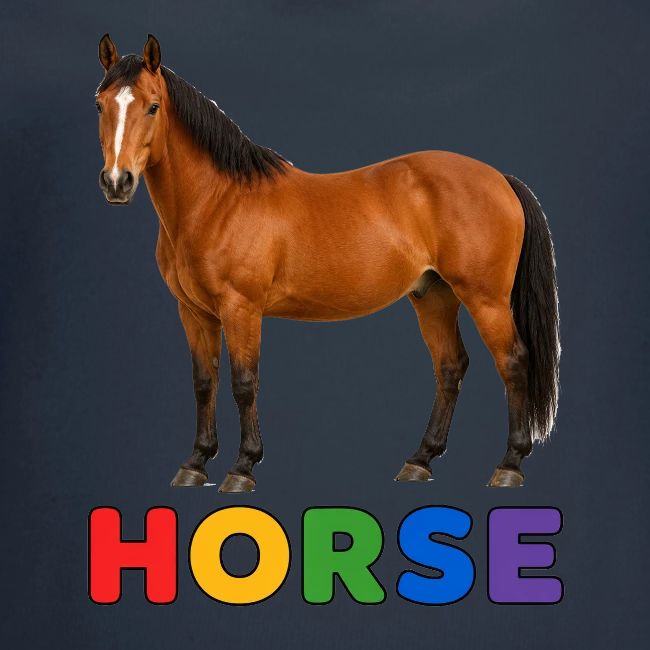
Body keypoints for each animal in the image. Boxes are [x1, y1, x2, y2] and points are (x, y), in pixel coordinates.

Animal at [95, 34, 559, 493]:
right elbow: (204, 382)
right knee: (450, 367)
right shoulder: (194, 312)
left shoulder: (241, 308)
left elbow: (244, 383)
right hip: (433, 296)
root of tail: (499, 179)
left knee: (513, 362)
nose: (117, 182)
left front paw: (242, 467)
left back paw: (509, 465)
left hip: (486, 300)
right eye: (100, 104)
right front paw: (195, 463)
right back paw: (420, 460)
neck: (218, 200)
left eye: (153, 106)